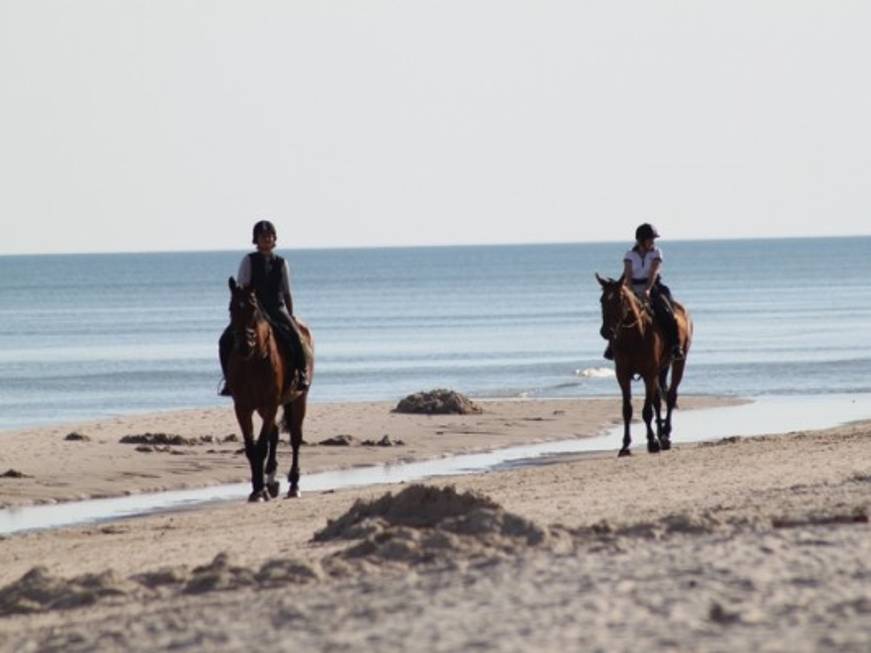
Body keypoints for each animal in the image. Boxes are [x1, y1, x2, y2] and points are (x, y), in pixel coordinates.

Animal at [227, 276, 316, 500]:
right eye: (231, 308)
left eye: (252, 307)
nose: (244, 345)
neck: (252, 361)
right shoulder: (242, 407)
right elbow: (252, 448)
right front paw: (258, 488)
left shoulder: (270, 403)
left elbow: (261, 446)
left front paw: (259, 491)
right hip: (263, 407)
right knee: (274, 433)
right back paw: (271, 481)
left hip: (299, 398)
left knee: (295, 438)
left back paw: (294, 485)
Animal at [596, 272, 692, 456]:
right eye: (602, 300)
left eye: (619, 299)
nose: (606, 332)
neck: (635, 336)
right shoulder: (623, 375)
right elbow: (627, 410)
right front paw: (626, 445)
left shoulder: (648, 373)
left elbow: (647, 411)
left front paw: (653, 443)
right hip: (661, 368)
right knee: (658, 400)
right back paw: (661, 435)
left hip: (678, 362)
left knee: (670, 396)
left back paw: (665, 436)